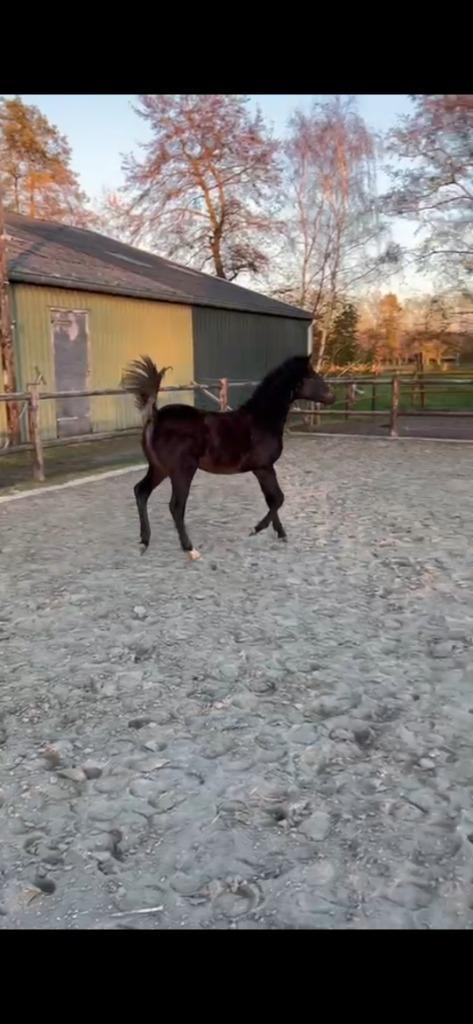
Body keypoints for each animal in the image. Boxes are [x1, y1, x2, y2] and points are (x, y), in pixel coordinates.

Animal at [122, 353, 335, 560]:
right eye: (313, 377)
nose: (332, 397)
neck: (261, 420)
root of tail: (156, 416)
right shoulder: (263, 467)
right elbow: (278, 499)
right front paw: (256, 529)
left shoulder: (263, 468)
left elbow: (272, 498)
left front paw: (280, 533)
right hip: (182, 471)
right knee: (176, 506)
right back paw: (190, 549)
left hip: (159, 468)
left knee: (141, 491)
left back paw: (144, 542)